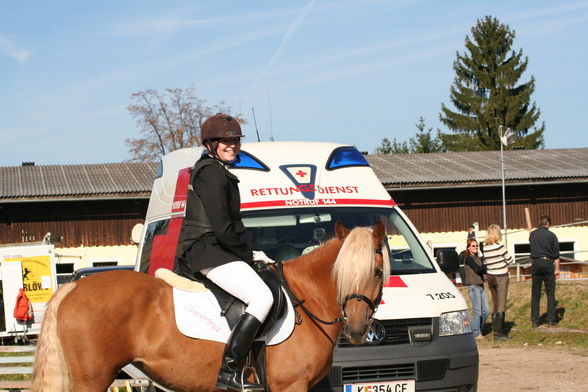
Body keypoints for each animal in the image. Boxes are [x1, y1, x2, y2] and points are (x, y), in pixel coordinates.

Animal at [33, 220, 390, 392]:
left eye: (375, 271)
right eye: (343, 273)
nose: (358, 330)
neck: (305, 297)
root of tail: (75, 286)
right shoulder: (291, 386)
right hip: (93, 379)